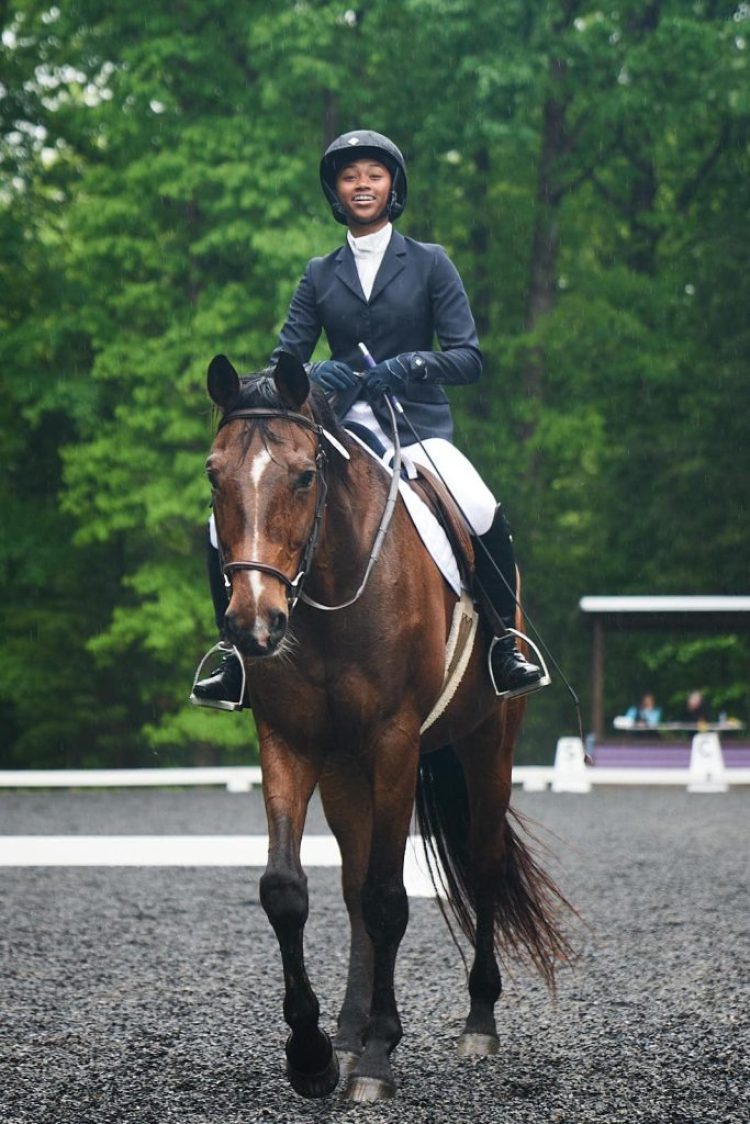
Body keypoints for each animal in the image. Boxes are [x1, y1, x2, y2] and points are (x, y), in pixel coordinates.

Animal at [202, 352, 571, 1106]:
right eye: (213, 474)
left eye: (304, 475)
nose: (253, 624)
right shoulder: (289, 741)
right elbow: (288, 890)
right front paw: (313, 1055)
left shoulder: (395, 742)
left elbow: (387, 898)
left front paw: (377, 1057)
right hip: (346, 769)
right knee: (350, 882)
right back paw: (347, 1029)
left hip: (488, 744)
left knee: (482, 863)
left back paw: (478, 1021)